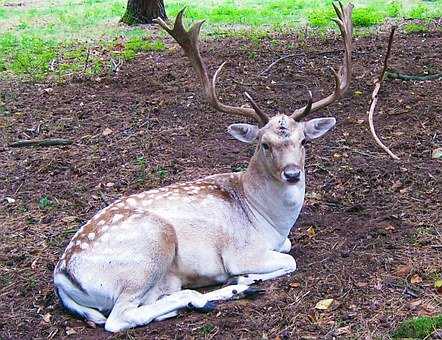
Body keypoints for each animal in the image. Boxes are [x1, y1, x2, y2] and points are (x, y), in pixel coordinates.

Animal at [53, 1, 354, 332]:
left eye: (303, 141)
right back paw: (215, 292)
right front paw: (244, 276)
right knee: (119, 317)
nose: (292, 173)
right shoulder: (241, 251)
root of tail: (62, 278)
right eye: (264, 144)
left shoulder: (279, 240)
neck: (269, 219)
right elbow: (289, 260)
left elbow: (288, 248)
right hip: (150, 249)